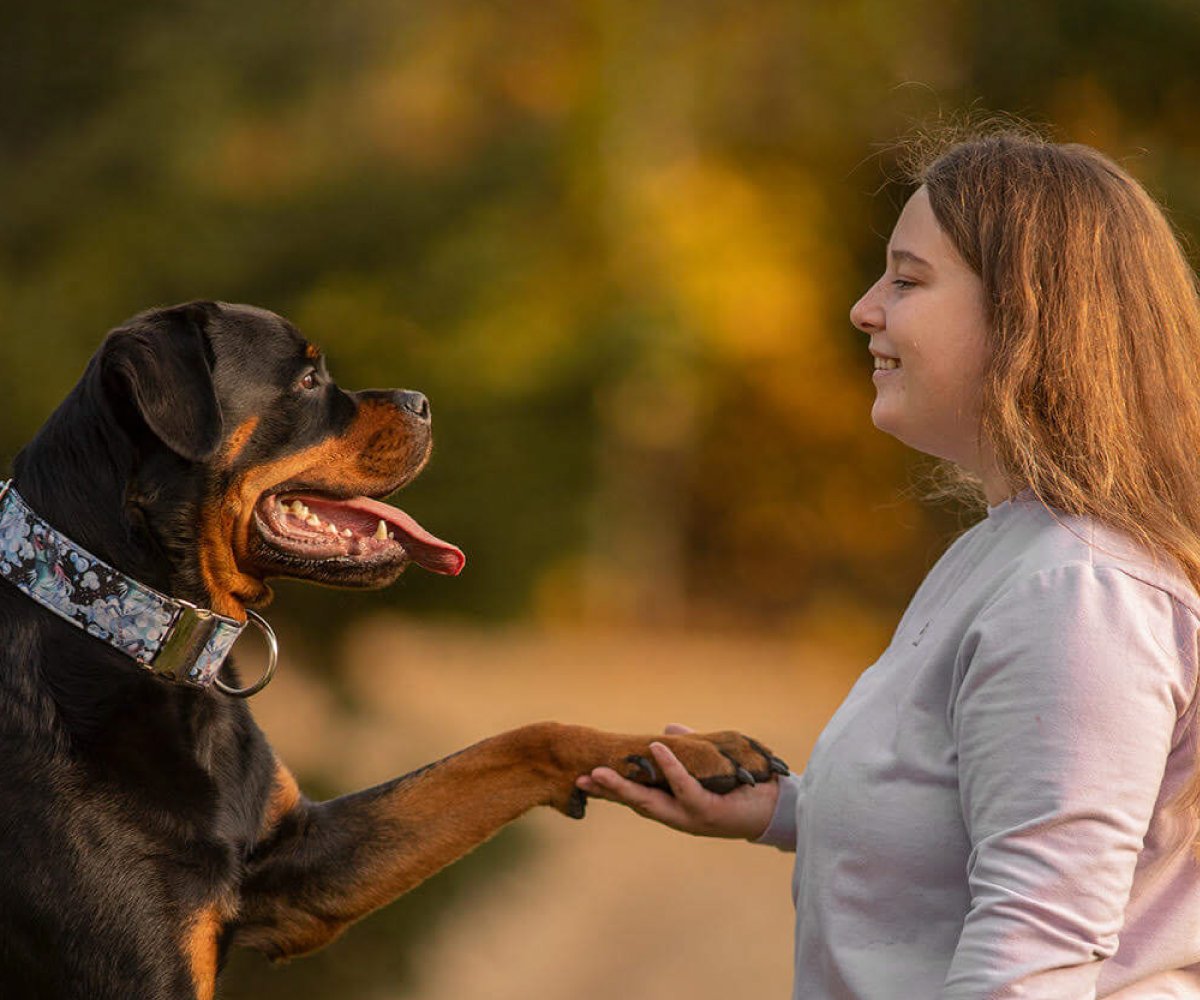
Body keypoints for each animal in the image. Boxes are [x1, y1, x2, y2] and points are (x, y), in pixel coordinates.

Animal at [0, 302, 787, 998]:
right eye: (307, 381)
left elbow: (514, 743)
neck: (128, 620)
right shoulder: (140, 967)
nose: (423, 401)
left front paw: (686, 749)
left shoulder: (302, 869)